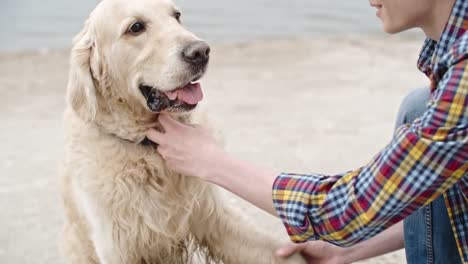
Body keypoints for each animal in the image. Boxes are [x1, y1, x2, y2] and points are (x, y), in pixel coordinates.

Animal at [59, 0, 308, 262]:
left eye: (176, 15)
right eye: (136, 27)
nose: (201, 51)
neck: (146, 147)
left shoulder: (214, 215)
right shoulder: (116, 245)